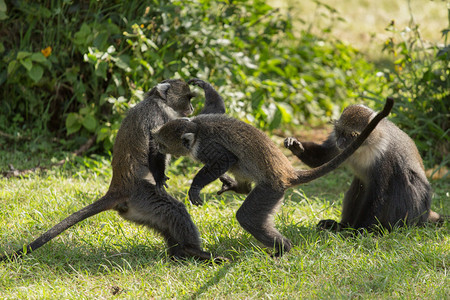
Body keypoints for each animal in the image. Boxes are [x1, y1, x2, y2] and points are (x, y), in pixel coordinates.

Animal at [0, 78, 227, 262]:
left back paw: (180, 253)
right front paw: (160, 178)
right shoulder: (158, 117)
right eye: (187, 98)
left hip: (138, 208)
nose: (191, 107)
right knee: (174, 210)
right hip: (141, 195)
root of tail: (117, 188)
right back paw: (192, 250)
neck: (158, 101)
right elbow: (155, 147)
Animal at [152, 97, 394, 256]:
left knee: (247, 215)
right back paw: (240, 189)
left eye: (163, 144)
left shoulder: (207, 147)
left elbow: (226, 159)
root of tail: (288, 173)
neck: (196, 127)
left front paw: (195, 187)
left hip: (272, 189)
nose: (155, 147)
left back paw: (283, 248)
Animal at [284, 102, 446, 231]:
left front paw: (358, 231)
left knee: (402, 181)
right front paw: (296, 146)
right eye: (339, 132)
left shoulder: (384, 156)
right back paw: (341, 225)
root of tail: (427, 212)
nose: (340, 142)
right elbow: (325, 159)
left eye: (352, 135)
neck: (364, 146)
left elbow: (379, 193)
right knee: (358, 185)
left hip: (416, 210)